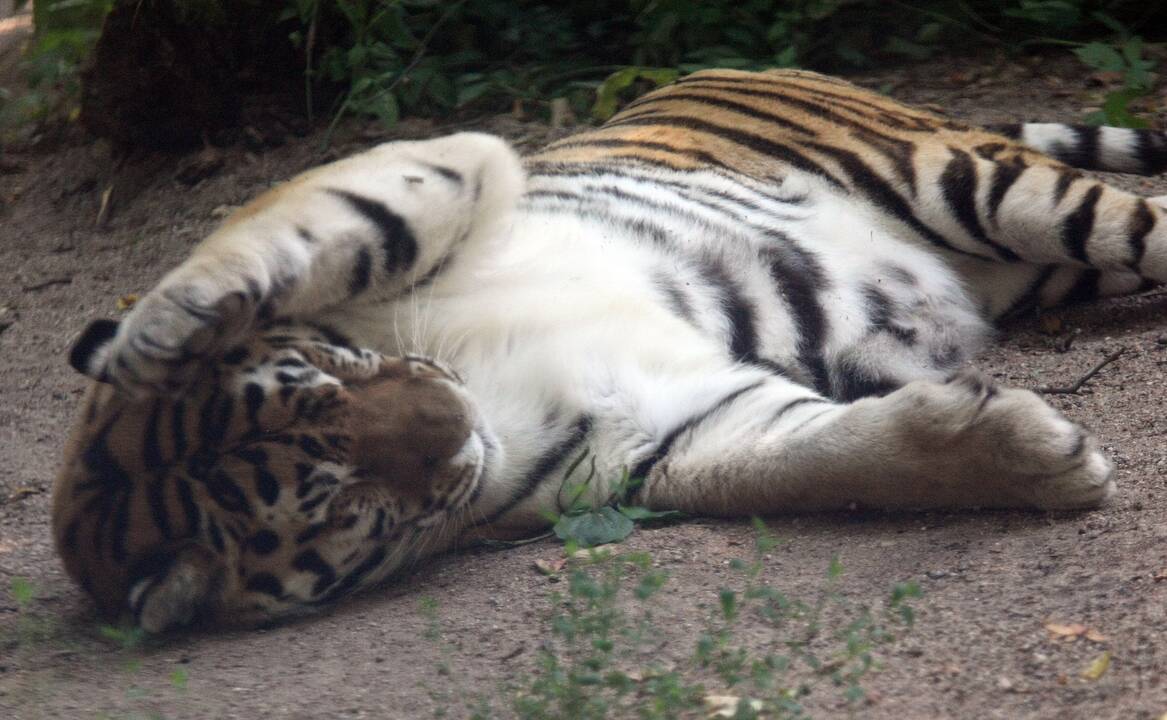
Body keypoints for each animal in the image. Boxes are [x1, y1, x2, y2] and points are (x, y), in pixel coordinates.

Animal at [52, 67, 1167, 630]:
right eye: (343, 505)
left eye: (337, 377)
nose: (452, 422)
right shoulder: (668, 431)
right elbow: (835, 458)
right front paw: (1040, 461)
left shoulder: (427, 174)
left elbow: (283, 234)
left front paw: (156, 339)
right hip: (1046, 263)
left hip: (978, 184)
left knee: (1144, 218)